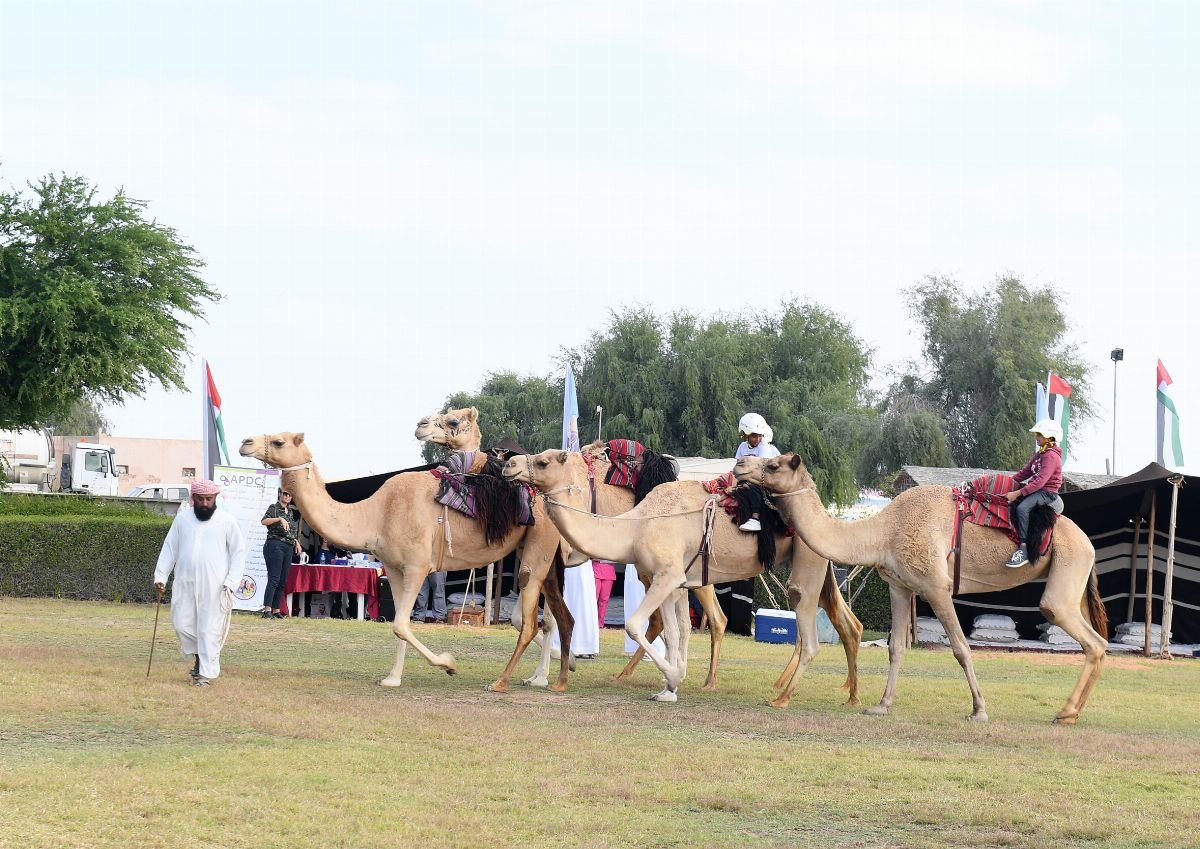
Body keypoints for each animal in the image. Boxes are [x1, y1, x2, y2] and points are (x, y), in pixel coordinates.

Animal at [238, 431, 576, 690]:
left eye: (279, 441)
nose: (246, 442)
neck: (375, 515)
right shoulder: (394, 569)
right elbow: (398, 625)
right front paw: (392, 678)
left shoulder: (417, 566)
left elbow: (401, 623)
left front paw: (449, 664)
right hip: (540, 556)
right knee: (546, 618)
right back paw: (552, 669)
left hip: (539, 548)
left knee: (534, 618)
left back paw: (514, 680)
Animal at [504, 450, 864, 705]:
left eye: (544, 461)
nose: (509, 464)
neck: (635, 525)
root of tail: (823, 512)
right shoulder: (670, 579)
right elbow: (676, 632)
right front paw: (668, 689)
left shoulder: (667, 574)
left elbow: (636, 625)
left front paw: (675, 677)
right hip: (820, 568)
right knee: (846, 623)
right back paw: (844, 692)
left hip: (808, 565)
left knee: (810, 627)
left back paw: (786, 695)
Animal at [734, 450, 1108, 724]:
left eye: (773, 464)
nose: (739, 465)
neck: (883, 532)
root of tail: (1087, 543)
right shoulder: (900, 587)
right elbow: (896, 648)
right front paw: (881, 705)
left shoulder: (936, 587)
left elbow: (960, 648)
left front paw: (979, 710)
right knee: (1096, 642)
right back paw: (1071, 712)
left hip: (1067, 567)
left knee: (1082, 633)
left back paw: (1066, 712)